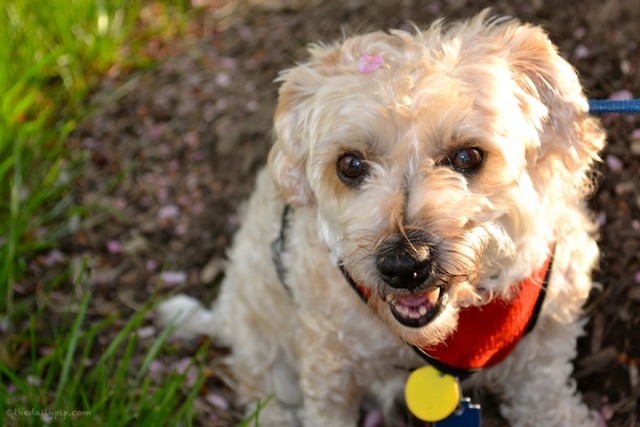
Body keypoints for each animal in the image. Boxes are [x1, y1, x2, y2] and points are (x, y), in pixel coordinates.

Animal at [156, 11, 604, 426]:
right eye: (351, 164)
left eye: (467, 156)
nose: (405, 266)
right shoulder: (328, 365)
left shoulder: (545, 349)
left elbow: (550, 406)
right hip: (262, 343)